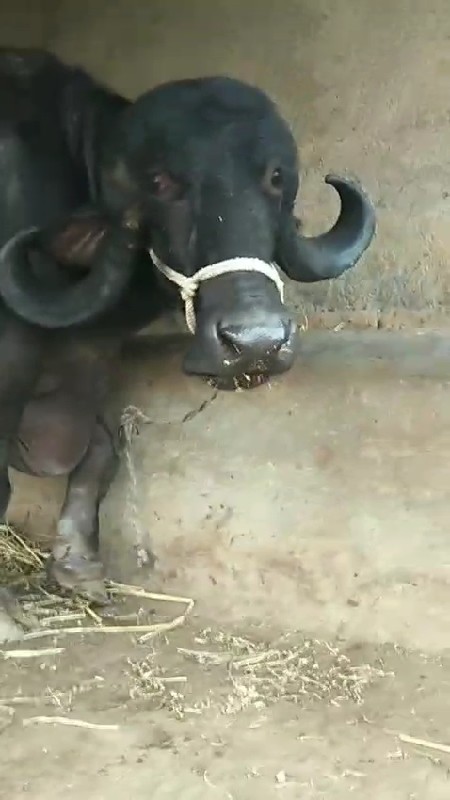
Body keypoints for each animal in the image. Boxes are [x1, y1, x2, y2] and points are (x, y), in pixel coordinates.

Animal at [0, 47, 376, 620]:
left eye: (275, 177)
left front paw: (78, 565)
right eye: (160, 183)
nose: (256, 344)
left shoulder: (92, 357)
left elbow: (101, 451)